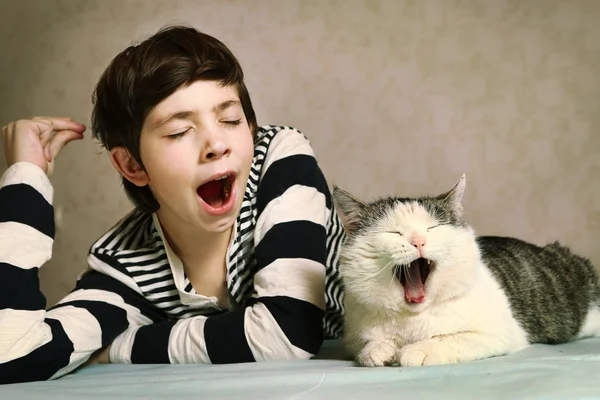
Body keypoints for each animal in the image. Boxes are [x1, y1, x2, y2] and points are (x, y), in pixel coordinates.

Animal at [332, 173, 600, 368]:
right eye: (394, 232)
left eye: (432, 228)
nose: (418, 241)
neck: (412, 317)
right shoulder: (353, 336)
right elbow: (369, 343)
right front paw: (378, 349)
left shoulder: (496, 334)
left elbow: (447, 338)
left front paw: (416, 350)